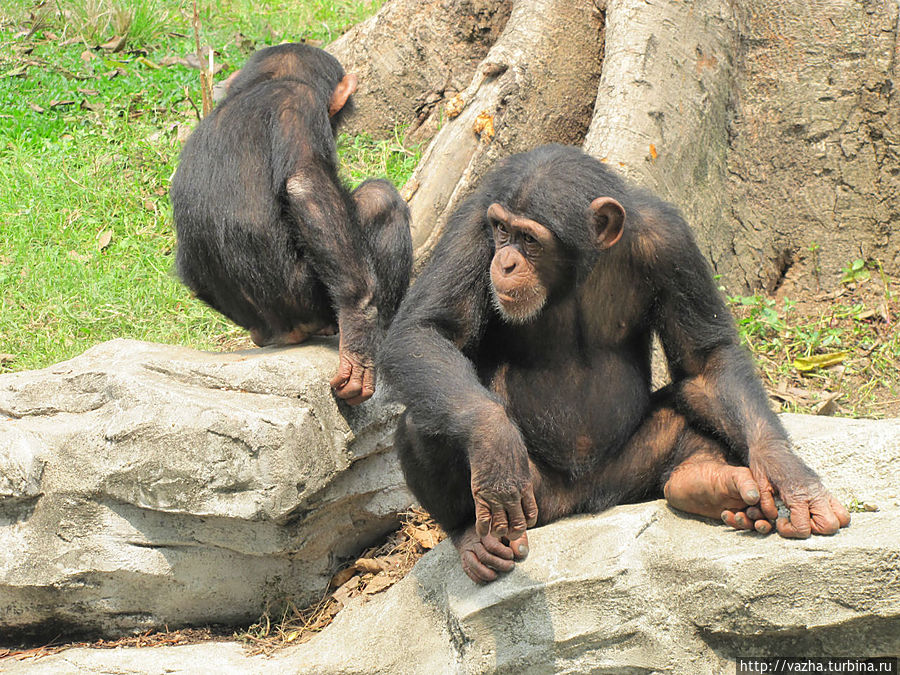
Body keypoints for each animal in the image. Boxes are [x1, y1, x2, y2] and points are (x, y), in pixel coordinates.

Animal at [171, 45, 414, 404]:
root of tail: (282, 332)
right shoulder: (301, 105)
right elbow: (305, 185)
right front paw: (358, 334)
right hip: (308, 299)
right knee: (380, 200)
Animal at [382, 144, 852, 588]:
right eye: (501, 230)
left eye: (529, 240)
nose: (507, 261)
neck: (577, 267)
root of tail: (582, 503)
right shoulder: (470, 223)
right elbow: (427, 331)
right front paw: (494, 442)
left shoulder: (671, 240)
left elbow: (705, 363)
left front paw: (789, 474)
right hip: (531, 503)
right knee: (425, 423)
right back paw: (471, 538)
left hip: (626, 476)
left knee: (688, 412)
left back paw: (710, 483)